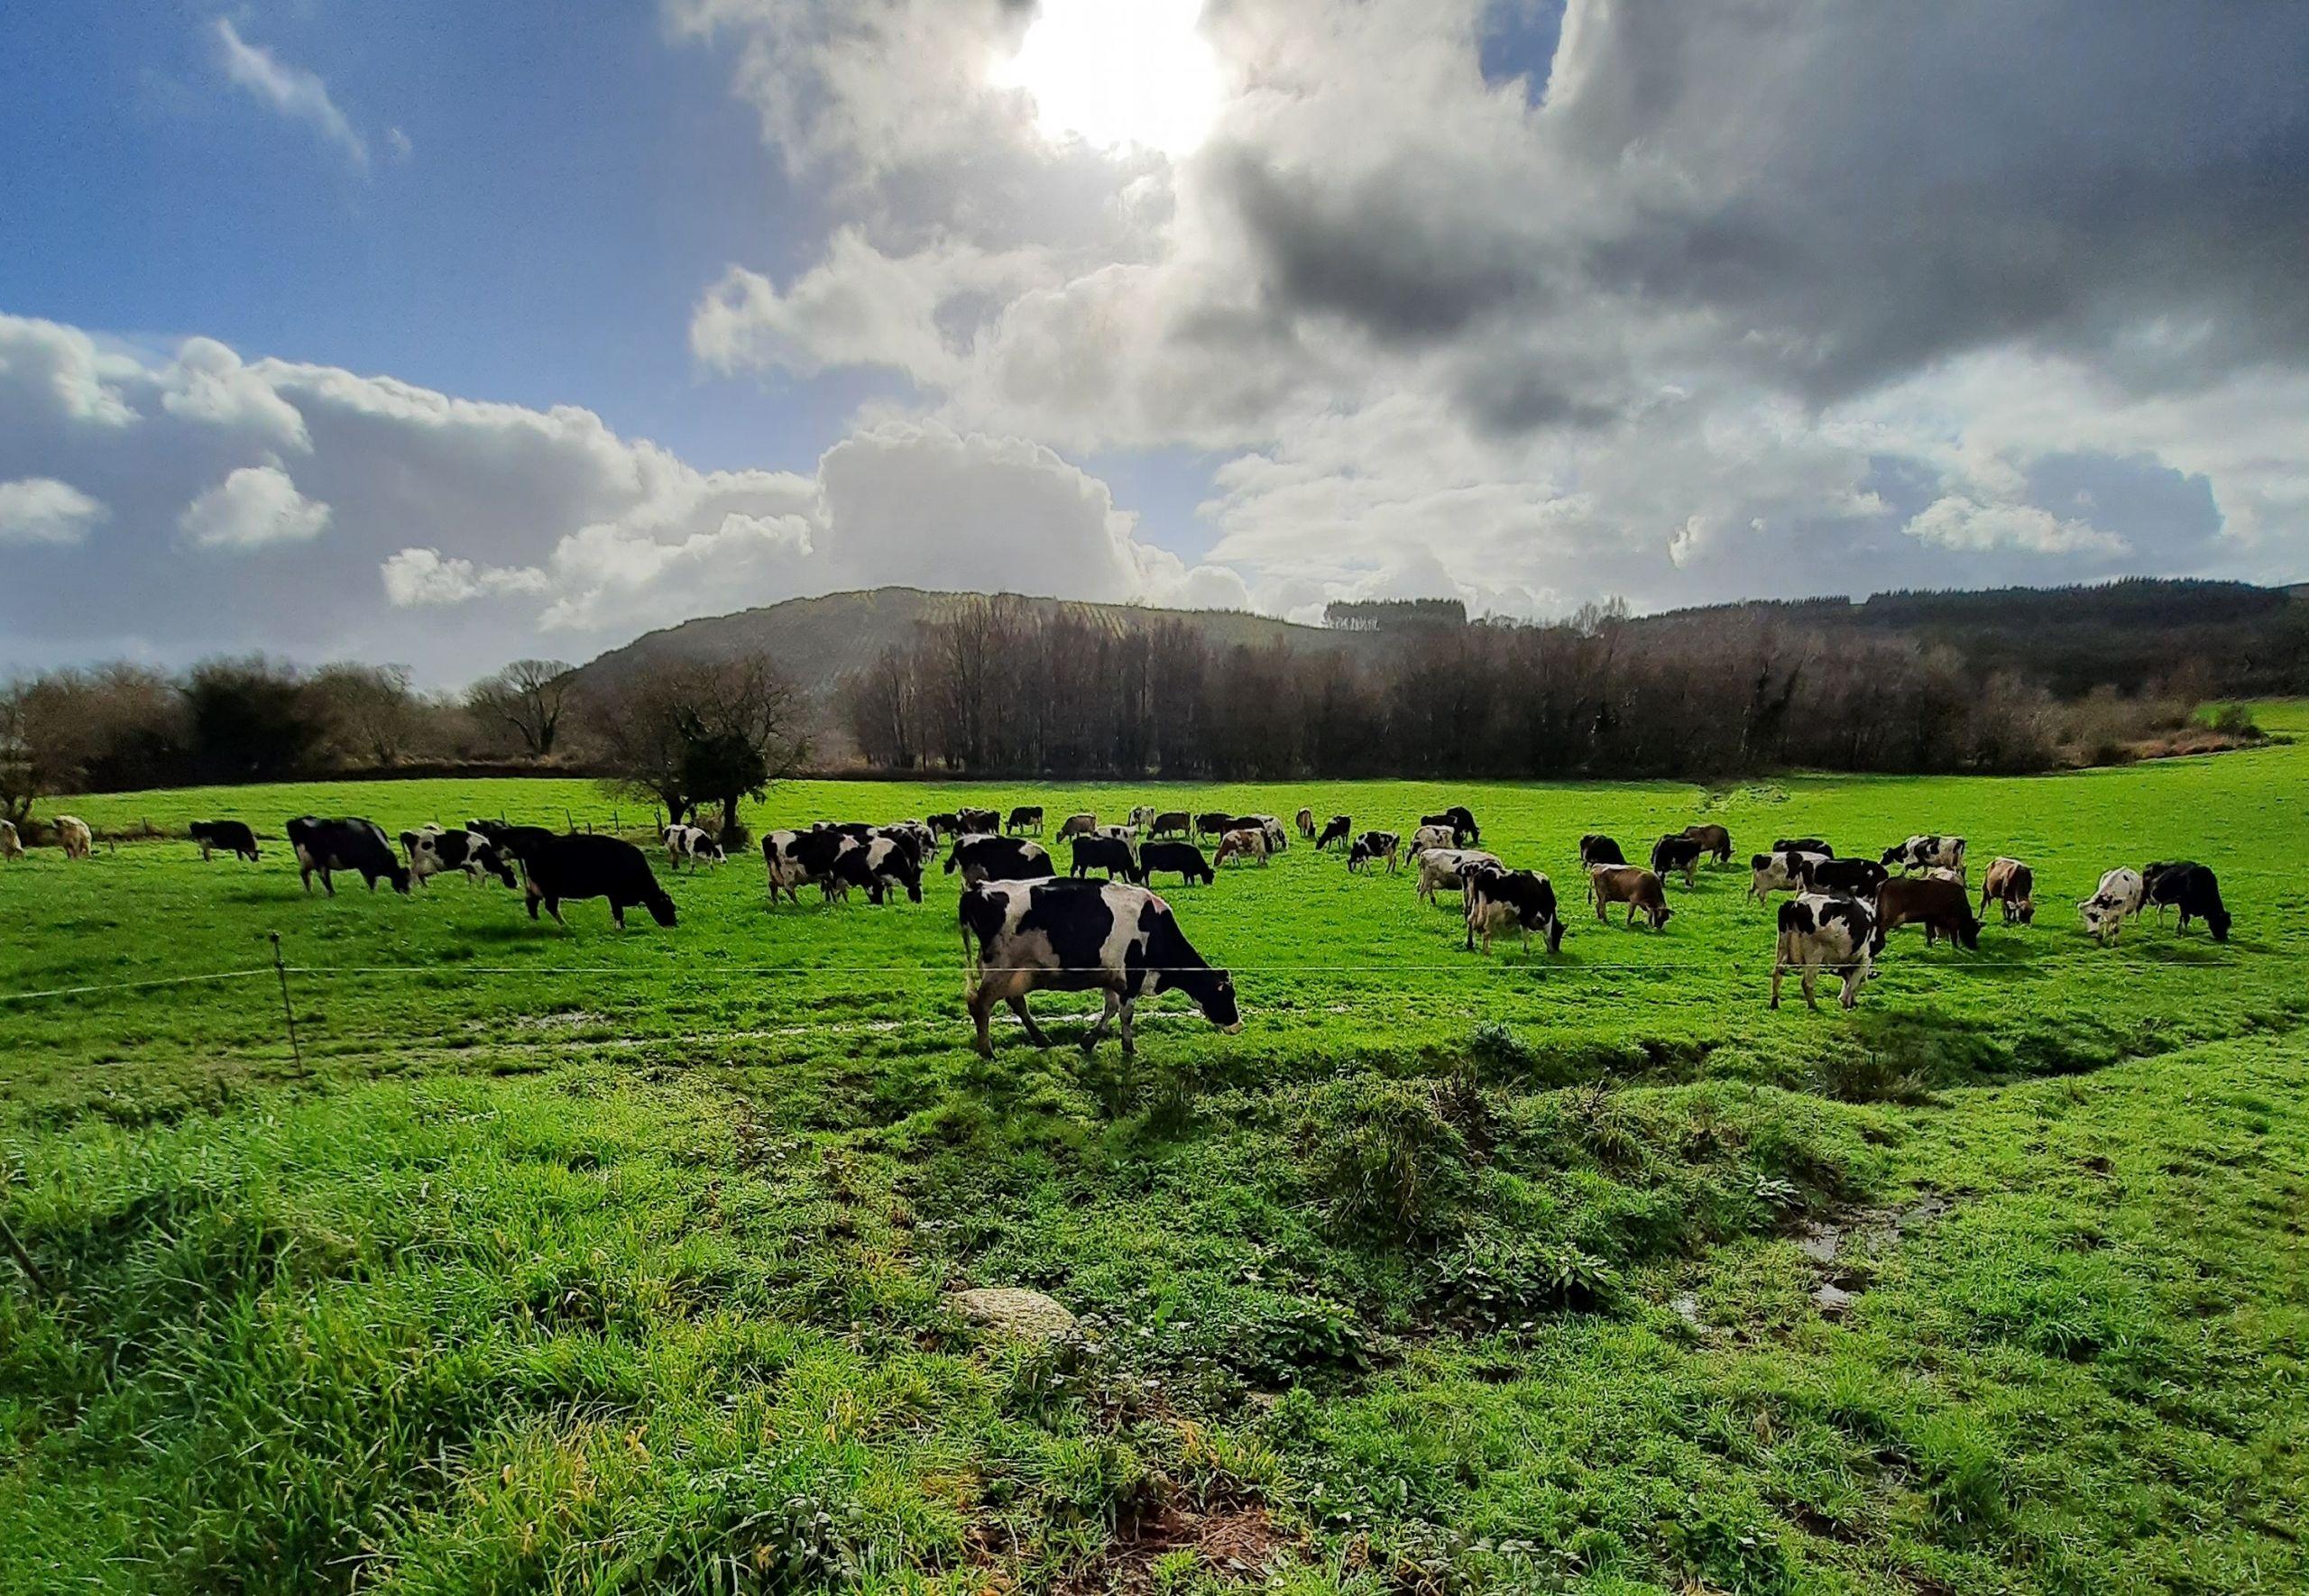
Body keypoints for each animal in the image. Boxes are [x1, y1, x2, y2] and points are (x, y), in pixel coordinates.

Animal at [289, 817, 415, 891]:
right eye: (403, 878)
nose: (407, 892)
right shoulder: (367, 868)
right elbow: (371, 883)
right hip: (319, 860)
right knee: (323, 876)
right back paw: (331, 893)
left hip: (307, 860)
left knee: (306, 874)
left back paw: (310, 891)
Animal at [520, 831, 674, 928]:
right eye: (667, 907)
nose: (673, 924)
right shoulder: (614, 894)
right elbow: (618, 912)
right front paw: (621, 928)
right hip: (550, 889)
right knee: (550, 906)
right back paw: (565, 925)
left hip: (538, 887)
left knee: (531, 900)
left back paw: (536, 919)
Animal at [955, 873, 1246, 1062]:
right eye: (1226, 997)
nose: (1238, 1025)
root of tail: (977, 888)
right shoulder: (1132, 977)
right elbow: (1126, 1014)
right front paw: (1129, 1047)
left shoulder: (1112, 977)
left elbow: (1110, 1009)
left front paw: (1089, 1041)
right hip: (999, 969)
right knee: (981, 1004)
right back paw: (987, 1051)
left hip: (1016, 972)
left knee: (1016, 1002)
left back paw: (1040, 1039)